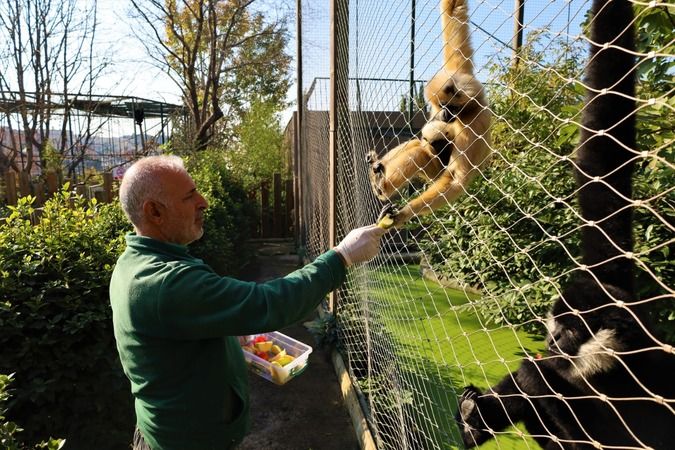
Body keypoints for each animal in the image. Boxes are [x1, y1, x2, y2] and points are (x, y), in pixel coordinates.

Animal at [370, 0, 492, 227]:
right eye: (442, 105)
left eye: (451, 107)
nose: (443, 115)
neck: (469, 109)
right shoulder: (460, 70)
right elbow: (454, 13)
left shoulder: (473, 124)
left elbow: (455, 178)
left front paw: (405, 213)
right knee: (417, 144)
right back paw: (378, 174)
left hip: (435, 173)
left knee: (420, 152)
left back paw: (382, 185)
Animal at [454, 0, 675, 450]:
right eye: (555, 325)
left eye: (570, 332)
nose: (552, 340)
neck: (616, 370)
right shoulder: (610, 271)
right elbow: (600, 161)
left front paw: (535, 372)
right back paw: (474, 418)